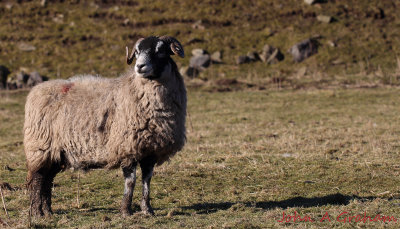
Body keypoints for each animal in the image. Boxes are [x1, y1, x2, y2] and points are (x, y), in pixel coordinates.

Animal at [24, 35, 187, 216]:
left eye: (160, 51)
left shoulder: (150, 150)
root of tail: (36, 90)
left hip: (56, 153)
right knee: (37, 180)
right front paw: (126, 211)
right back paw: (36, 212)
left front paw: (147, 210)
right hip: (40, 148)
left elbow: (147, 181)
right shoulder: (126, 147)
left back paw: (47, 212)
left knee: (47, 180)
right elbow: (130, 181)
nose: (139, 66)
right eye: (137, 52)